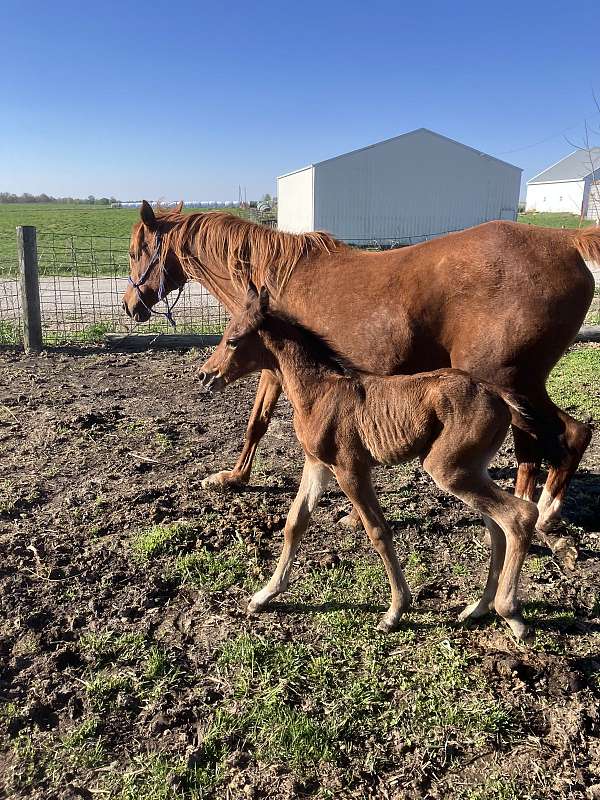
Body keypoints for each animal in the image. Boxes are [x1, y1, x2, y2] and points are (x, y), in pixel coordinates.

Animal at [122, 201, 596, 549]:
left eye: (135, 252)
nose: (129, 305)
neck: (273, 279)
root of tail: (566, 241)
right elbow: (257, 424)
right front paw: (234, 478)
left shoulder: (275, 370)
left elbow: (256, 423)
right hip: (520, 384)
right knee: (549, 443)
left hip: (508, 379)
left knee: (559, 438)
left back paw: (540, 515)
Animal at [197, 282, 541, 639]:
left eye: (233, 339)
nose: (205, 376)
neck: (319, 393)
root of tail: (499, 395)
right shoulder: (316, 465)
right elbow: (295, 522)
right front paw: (263, 596)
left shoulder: (350, 469)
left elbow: (378, 531)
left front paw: (395, 611)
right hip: (472, 469)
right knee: (496, 527)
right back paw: (477, 608)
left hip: (448, 468)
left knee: (519, 515)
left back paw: (510, 612)